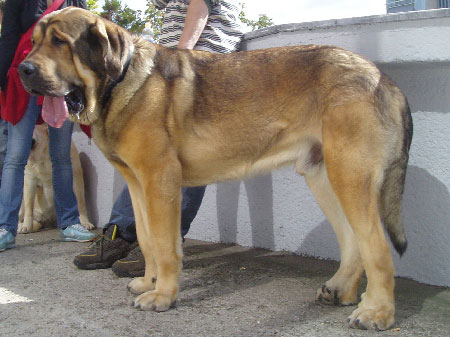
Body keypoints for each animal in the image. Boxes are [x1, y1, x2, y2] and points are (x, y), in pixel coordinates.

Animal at [19, 7, 414, 328]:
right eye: (34, 42)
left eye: (59, 41)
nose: (23, 69)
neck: (119, 81)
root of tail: (383, 78)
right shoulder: (137, 184)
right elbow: (147, 239)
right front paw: (149, 282)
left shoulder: (160, 180)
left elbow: (165, 245)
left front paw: (163, 296)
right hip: (323, 176)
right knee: (352, 241)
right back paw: (341, 290)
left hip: (350, 176)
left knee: (377, 248)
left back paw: (376, 312)